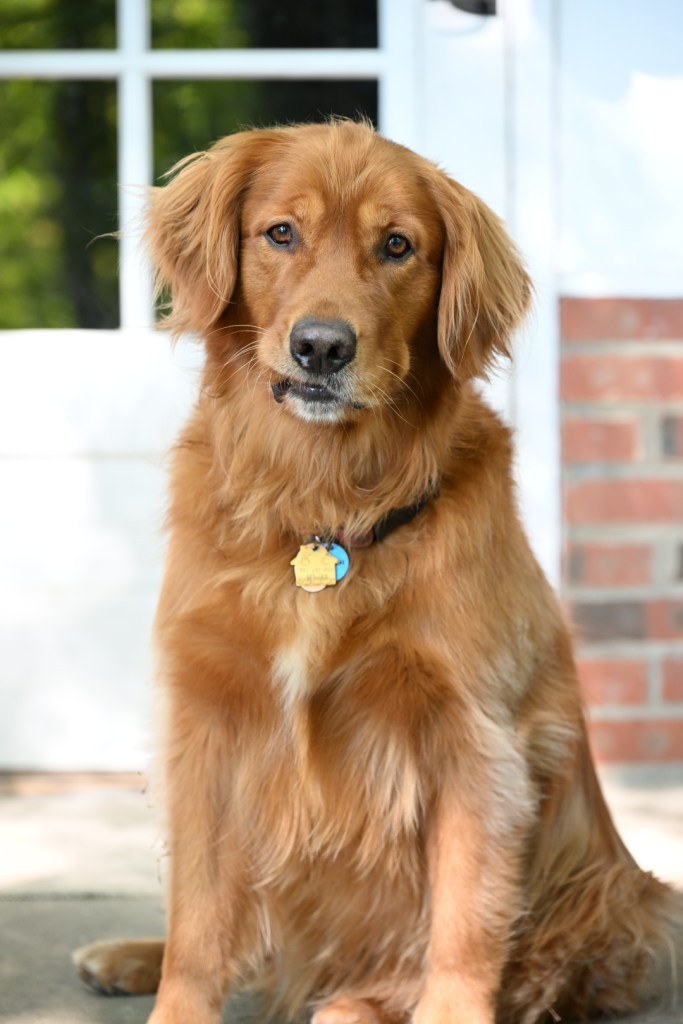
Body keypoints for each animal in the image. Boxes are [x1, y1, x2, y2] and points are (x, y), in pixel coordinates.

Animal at [74, 120, 683, 1024]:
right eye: (279, 233)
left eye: (397, 245)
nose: (321, 347)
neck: (322, 506)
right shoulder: (206, 715)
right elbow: (199, 914)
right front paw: (176, 1001)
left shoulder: (473, 736)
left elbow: (464, 918)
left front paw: (443, 1009)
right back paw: (127, 955)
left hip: (612, 896)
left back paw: (360, 1003)